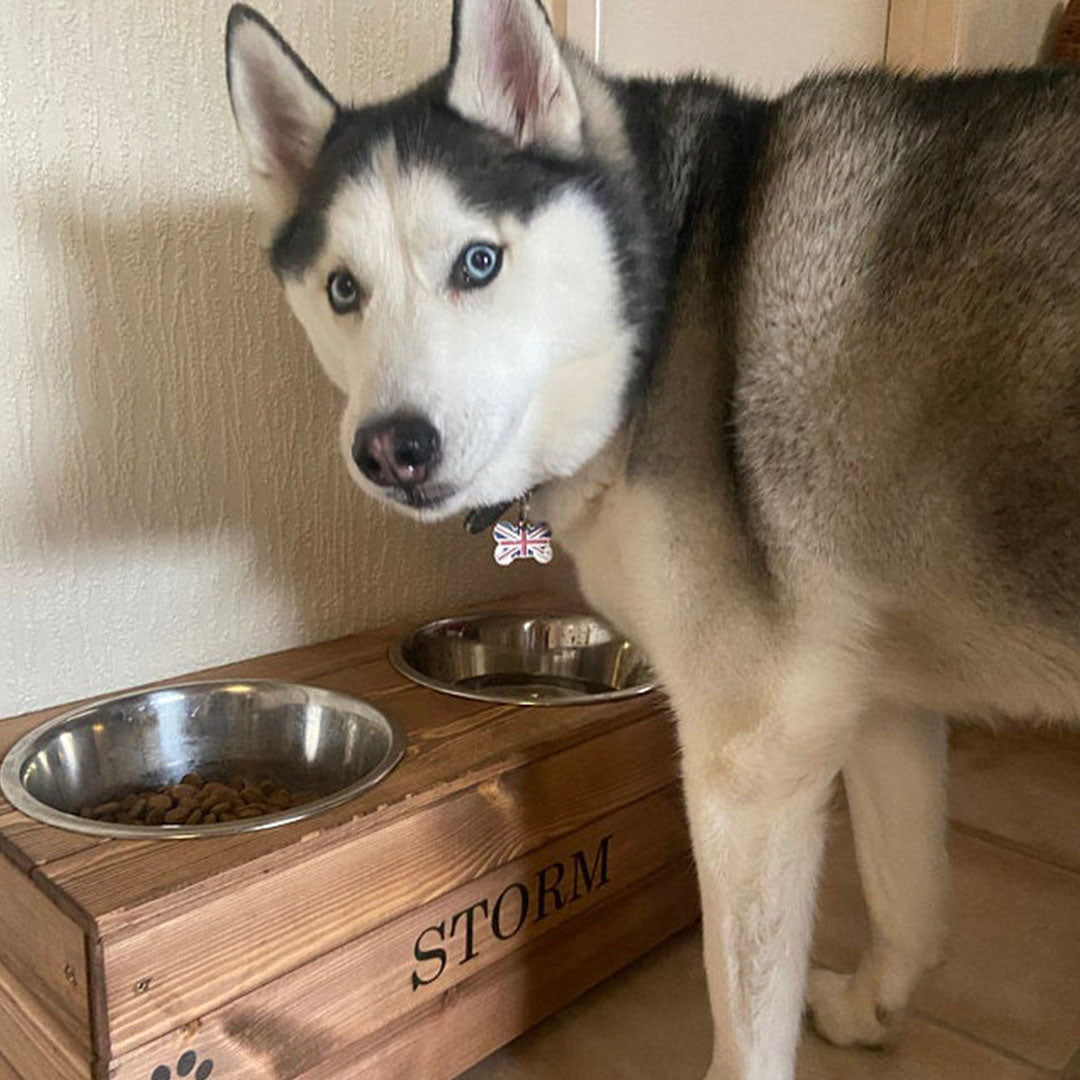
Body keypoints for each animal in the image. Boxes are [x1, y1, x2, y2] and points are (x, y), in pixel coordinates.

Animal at [225, 4, 1080, 1075]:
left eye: (478, 261)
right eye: (343, 289)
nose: (391, 447)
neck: (664, 295)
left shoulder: (752, 759)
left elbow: (745, 1020)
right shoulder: (882, 696)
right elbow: (912, 898)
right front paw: (871, 1006)